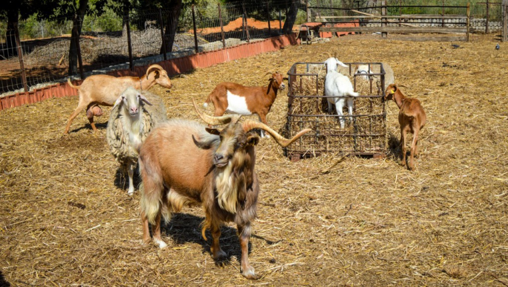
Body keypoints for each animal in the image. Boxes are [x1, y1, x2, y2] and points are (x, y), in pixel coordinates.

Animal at [138, 100, 310, 280]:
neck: (238, 188)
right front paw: (219, 254)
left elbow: (244, 240)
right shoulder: (211, 207)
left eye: (240, 143)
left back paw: (159, 241)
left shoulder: (246, 213)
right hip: (152, 180)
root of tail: (150, 136)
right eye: (221, 137)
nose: (218, 157)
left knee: (156, 210)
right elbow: (216, 231)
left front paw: (247, 270)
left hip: (164, 186)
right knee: (145, 210)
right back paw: (148, 241)